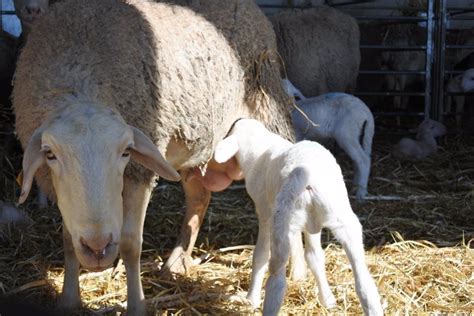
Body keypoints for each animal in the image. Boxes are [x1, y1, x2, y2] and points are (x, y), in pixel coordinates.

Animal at [12, 0, 292, 314]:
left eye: (125, 151)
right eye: (50, 154)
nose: (97, 248)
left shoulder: (139, 172)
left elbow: (131, 243)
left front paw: (137, 305)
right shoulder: (62, 193)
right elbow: (69, 241)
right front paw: (68, 301)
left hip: (270, 107)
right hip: (193, 152)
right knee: (199, 198)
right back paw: (177, 262)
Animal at [213, 118, 384, 316]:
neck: (259, 148)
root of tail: (304, 174)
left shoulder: (264, 212)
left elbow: (260, 256)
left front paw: (251, 299)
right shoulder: (312, 224)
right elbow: (315, 257)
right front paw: (327, 300)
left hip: (281, 223)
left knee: (277, 280)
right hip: (342, 217)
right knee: (364, 280)